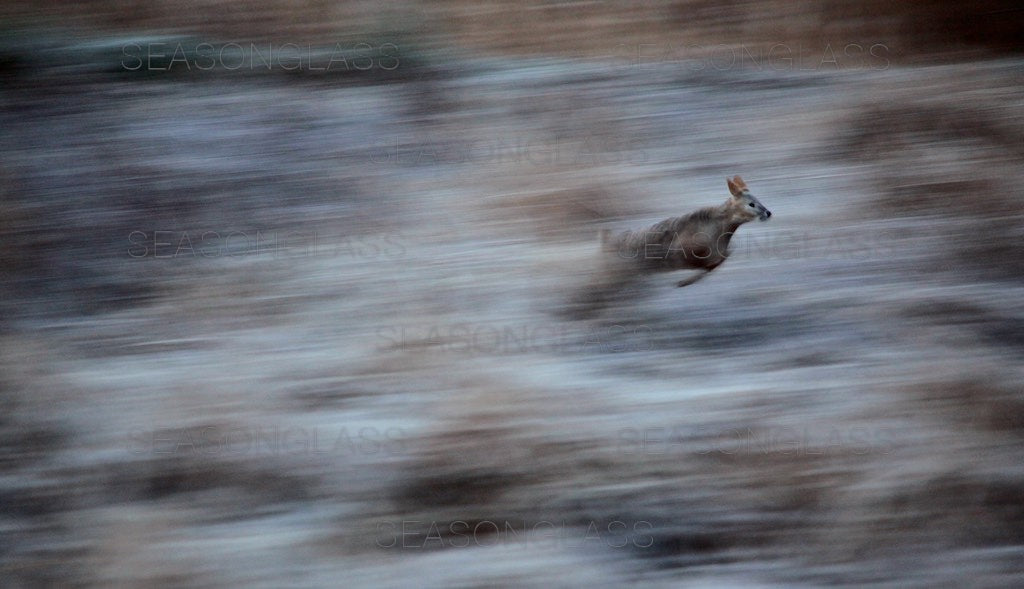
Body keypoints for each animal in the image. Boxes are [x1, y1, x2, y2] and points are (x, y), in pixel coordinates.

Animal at [569, 176, 771, 316]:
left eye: (758, 200)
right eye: (751, 204)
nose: (768, 212)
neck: (719, 226)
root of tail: (604, 242)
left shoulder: (714, 254)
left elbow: (720, 260)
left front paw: (684, 282)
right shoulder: (688, 254)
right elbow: (710, 263)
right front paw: (683, 282)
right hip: (614, 273)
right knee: (593, 288)